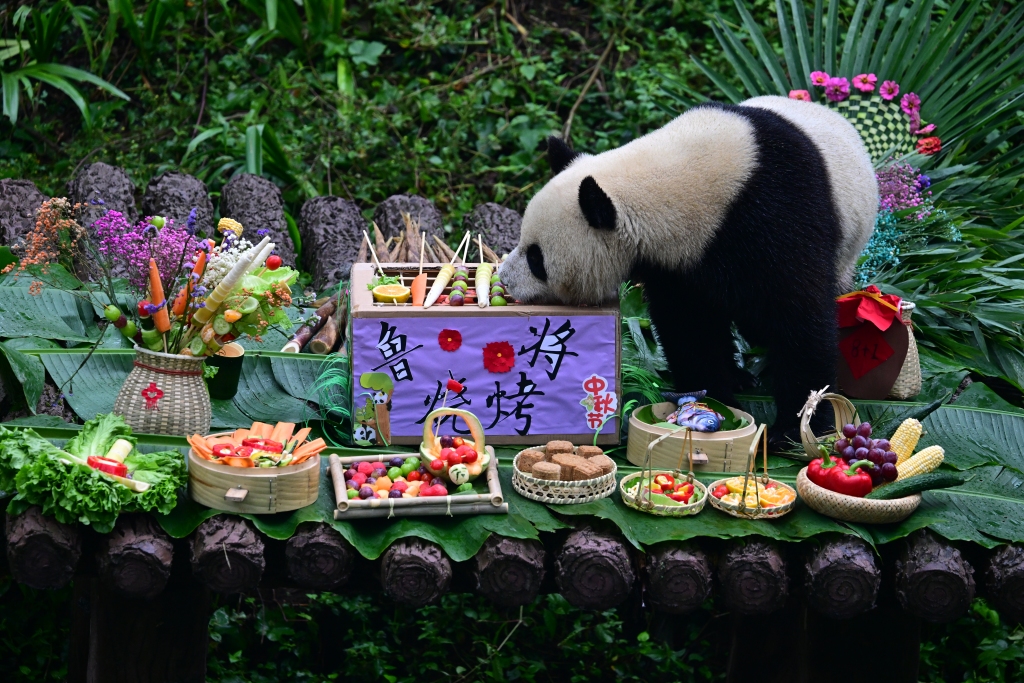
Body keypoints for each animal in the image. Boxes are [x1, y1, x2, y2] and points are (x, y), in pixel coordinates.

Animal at [499, 96, 876, 446]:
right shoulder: (679, 262)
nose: (505, 279)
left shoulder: (774, 213)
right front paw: (714, 396)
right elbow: (689, 326)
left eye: (536, 258)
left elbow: (798, 315)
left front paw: (796, 429)